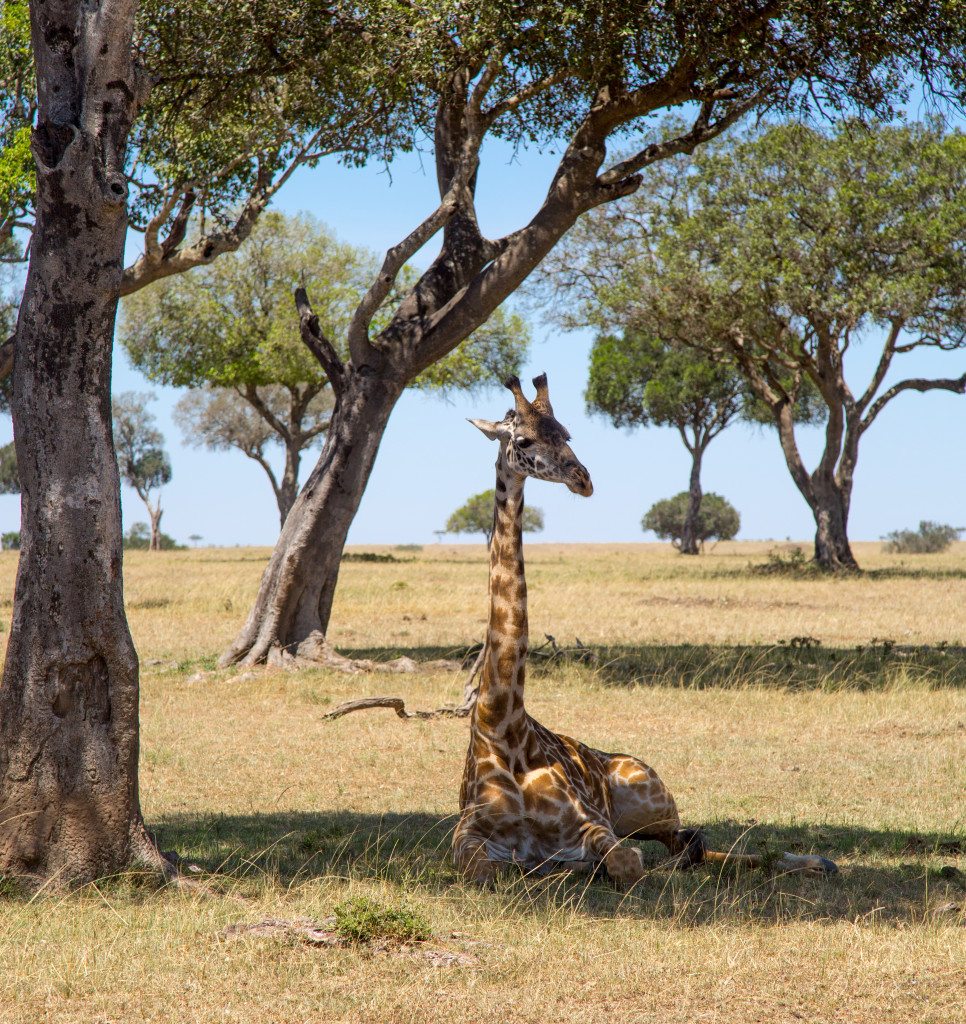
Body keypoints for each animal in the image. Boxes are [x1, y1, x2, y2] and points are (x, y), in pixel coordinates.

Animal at [452, 374, 840, 888]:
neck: (499, 721)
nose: (583, 478)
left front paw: (582, 866)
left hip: (647, 802)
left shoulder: (591, 823)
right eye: (525, 440)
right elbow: (487, 870)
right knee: (692, 846)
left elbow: (627, 862)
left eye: (567, 433)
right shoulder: (466, 836)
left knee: (692, 842)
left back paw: (815, 860)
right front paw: (553, 867)